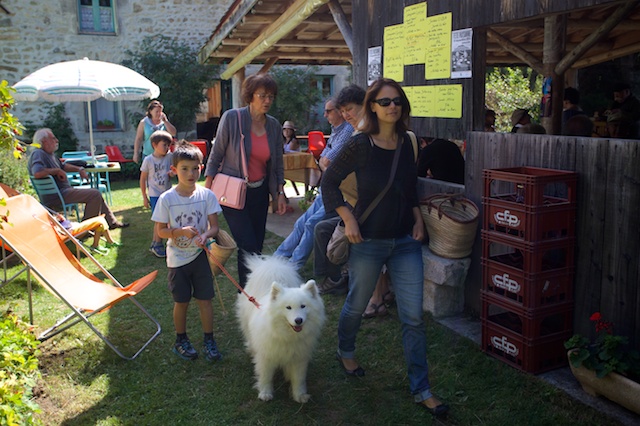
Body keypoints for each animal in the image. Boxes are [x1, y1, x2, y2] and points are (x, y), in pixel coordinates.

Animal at [235, 255, 324, 404]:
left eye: (303, 306)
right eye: (288, 307)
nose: (298, 320)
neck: (287, 336)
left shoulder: (299, 358)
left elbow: (298, 379)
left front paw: (299, 395)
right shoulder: (266, 357)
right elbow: (266, 376)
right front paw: (265, 393)